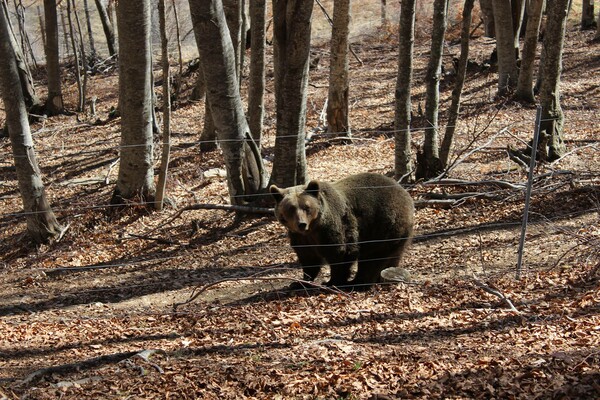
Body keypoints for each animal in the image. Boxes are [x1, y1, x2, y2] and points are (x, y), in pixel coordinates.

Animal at [270, 173, 414, 290]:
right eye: (291, 208)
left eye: (306, 207)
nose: (301, 224)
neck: (313, 229)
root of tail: (405, 193)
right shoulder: (301, 237)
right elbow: (309, 258)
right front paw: (299, 282)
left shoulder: (334, 227)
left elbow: (341, 252)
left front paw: (332, 281)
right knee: (393, 254)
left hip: (383, 225)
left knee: (372, 257)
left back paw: (358, 283)